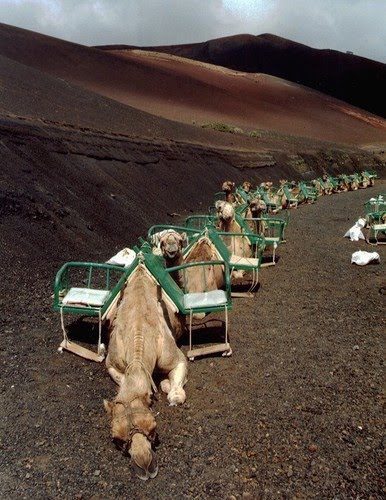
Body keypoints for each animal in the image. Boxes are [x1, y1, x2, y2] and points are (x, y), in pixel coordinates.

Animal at [102, 266, 187, 480]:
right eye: (116, 438)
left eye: (153, 427)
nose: (145, 466)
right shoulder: (112, 363)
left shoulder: (175, 358)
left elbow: (177, 391)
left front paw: (168, 387)